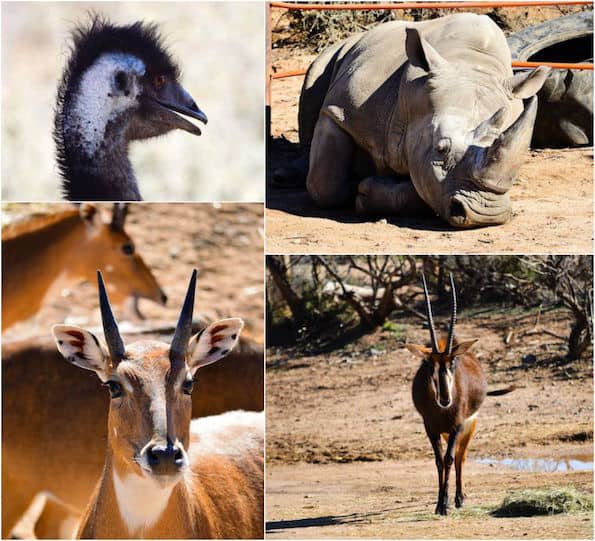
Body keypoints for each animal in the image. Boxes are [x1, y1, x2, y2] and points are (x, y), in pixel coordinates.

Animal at [410, 274, 488, 516]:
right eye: (429, 365)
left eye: (452, 362)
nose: (445, 399)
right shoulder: (431, 428)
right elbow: (438, 461)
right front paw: (438, 504)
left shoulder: (457, 426)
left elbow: (450, 459)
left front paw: (445, 504)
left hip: (470, 426)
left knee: (461, 457)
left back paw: (459, 498)